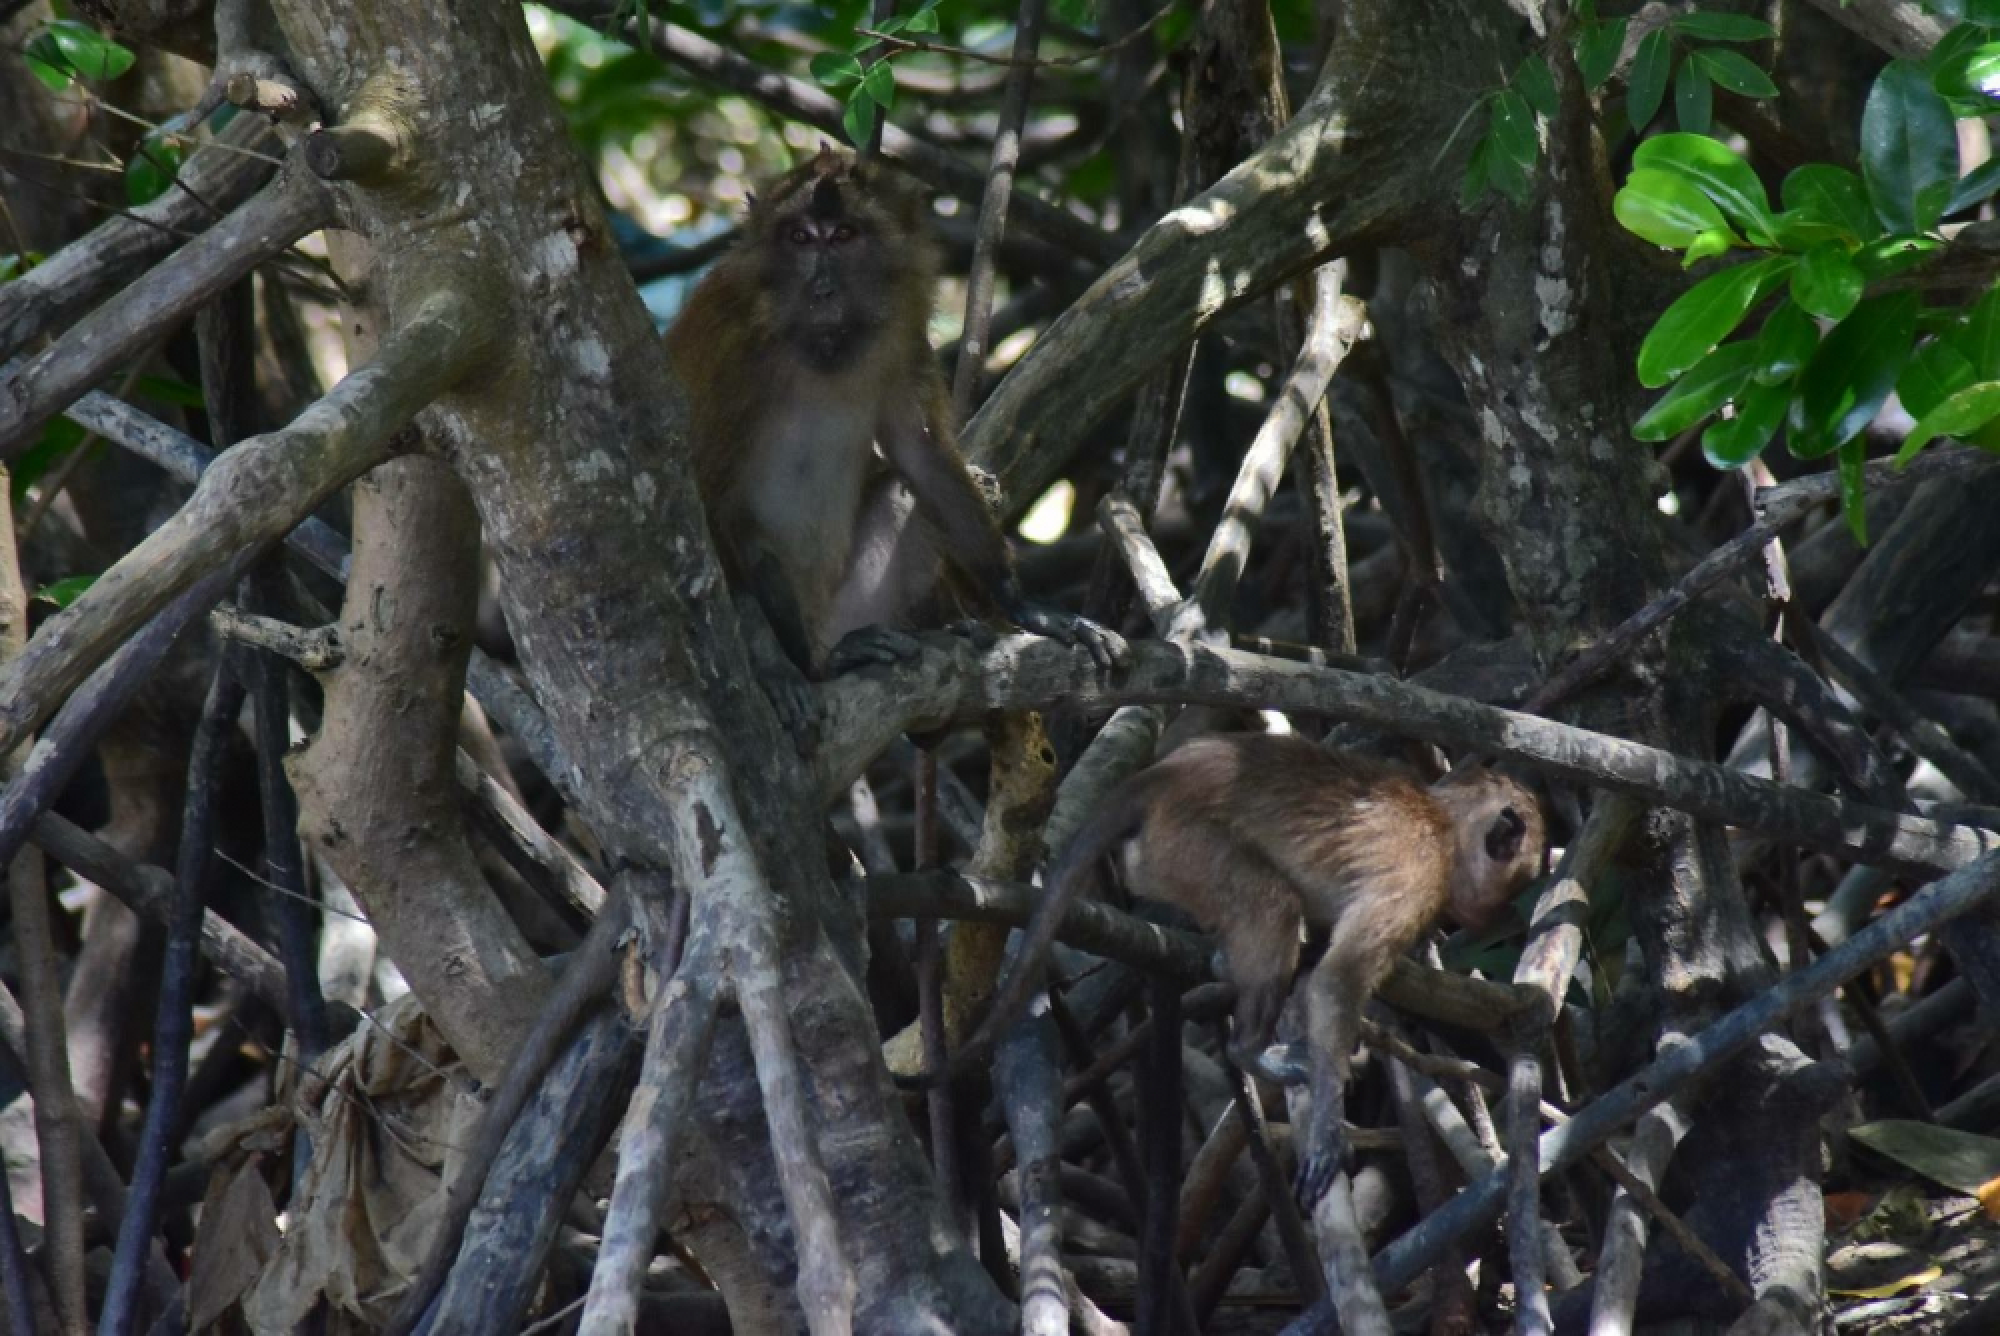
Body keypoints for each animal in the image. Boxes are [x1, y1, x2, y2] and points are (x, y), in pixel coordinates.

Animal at [664, 146, 1125, 739]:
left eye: (843, 235)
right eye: (799, 238)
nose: (823, 290)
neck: (820, 347)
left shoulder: (901, 336)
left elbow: (921, 456)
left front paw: (1023, 604)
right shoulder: (730, 345)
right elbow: (705, 489)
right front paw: (781, 666)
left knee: (902, 492)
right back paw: (819, 663)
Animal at [902, 732, 1545, 1204]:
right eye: (1517, 878)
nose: (1500, 914)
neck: (1442, 824)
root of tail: (1168, 772)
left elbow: (1321, 966)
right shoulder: (1417, 879)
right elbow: (1337, 978)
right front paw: (1328, 1125)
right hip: (1186, 844)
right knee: (1271, 905)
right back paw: (1250, 1050)